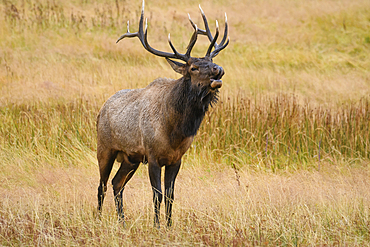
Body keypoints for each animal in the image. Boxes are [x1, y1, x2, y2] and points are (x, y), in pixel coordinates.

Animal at [96, 0, 228, 228]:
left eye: (211, 61)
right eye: (193, 67)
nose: (218, 69)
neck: (175, 131)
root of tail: (101, 110)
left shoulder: (176, 159)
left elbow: (170, 195)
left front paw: (169, 225)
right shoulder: (153, 156)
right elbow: (156, 194)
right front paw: (157, 226)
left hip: (131, 158)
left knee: (116, 183)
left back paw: (122, 222)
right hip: (105, 148)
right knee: (101, 185)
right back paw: (98, 219)